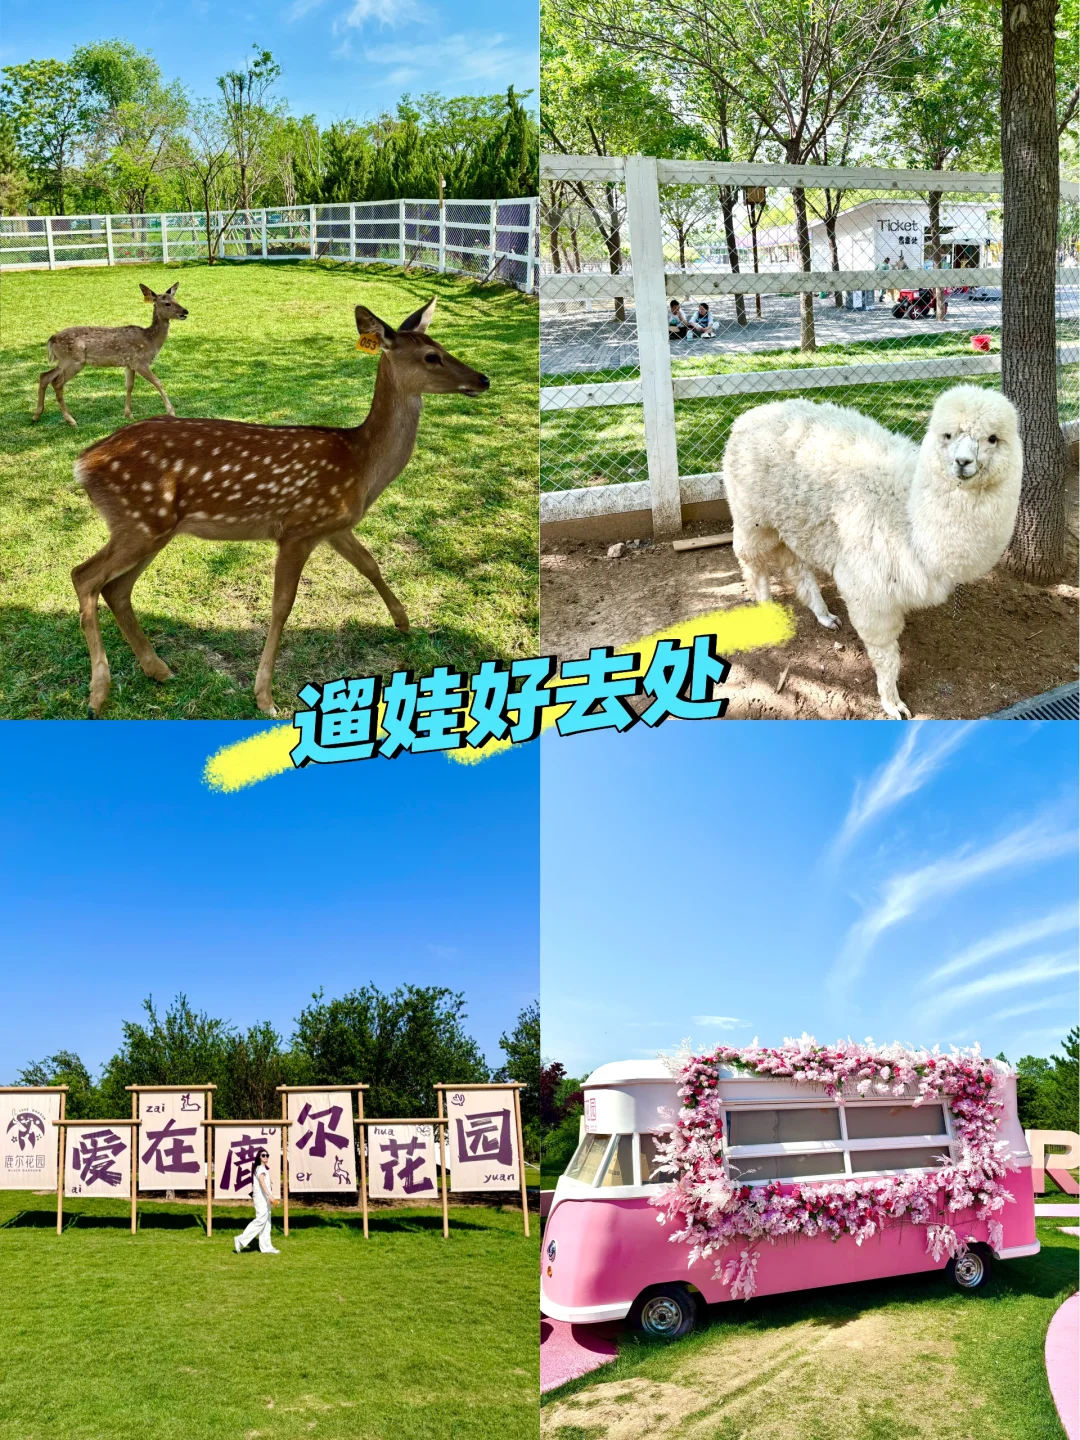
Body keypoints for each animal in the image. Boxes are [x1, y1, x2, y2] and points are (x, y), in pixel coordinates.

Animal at [33, 282, 188, 427]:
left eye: (176, 299)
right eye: (167, 303)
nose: (185, 311)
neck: (150, 340)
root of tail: (51, 340)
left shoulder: (129, 364)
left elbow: (129, 386)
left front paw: (128, 414)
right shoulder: (140, 362)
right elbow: (158, 382)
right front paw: (171, 412)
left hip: (64, 361)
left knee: (45, 376)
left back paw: (36, 415)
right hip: (73, 360)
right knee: (57, 383)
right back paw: (70, 420)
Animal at [71, 297, 490, 718]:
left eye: (441, 345)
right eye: (432, 356)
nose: (483, 379)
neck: (362, 464)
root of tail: (82, 463)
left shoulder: (334, 526)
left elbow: (370, 564)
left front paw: (404, 622)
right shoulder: (298, 528)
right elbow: (282, 606)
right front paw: (265, 697)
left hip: (153, 527)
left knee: (116, 588)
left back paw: (158, 669)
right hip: (140, 521)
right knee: (84, 575)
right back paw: (98, 692)